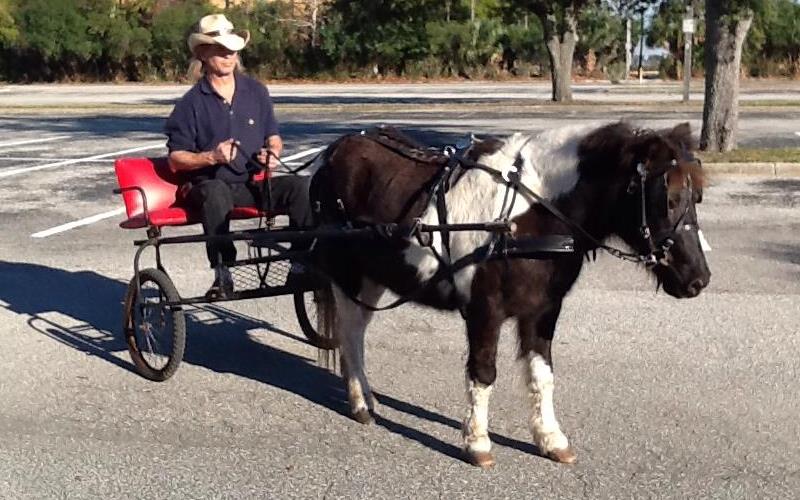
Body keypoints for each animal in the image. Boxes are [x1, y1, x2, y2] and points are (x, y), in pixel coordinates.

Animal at [308, 123, 712, 466]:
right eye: (667, 198)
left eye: (697, 196)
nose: (699, 278)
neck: (525, 216)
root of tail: (333, 151)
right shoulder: (484, 309)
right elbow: (483, 372)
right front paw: (477, 442)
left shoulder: (543, 310)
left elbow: (542, 374)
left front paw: (550, 439)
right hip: (347, 276)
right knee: (351, 335)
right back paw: (360, 402)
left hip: (373, 277)